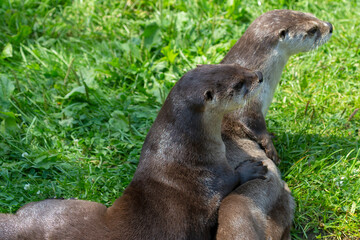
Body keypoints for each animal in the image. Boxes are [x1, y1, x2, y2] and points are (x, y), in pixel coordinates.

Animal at [0, 64, 268, 240]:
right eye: (239, 84)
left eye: (237, 67)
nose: (259, 75)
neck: (188, 154)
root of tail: (17, 226)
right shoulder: (212, 182)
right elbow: (231, 182)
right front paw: (253, 168)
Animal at [215, 9, 334, 240]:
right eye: (313, 29)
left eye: (311, 13)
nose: (330, 26)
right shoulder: (247, 106)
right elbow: (254, 127)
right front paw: (271, 149)